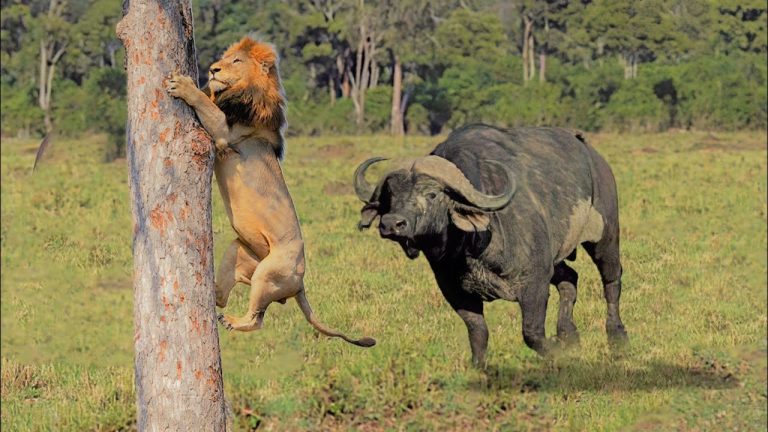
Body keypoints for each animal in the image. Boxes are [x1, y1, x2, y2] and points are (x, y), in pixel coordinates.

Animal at [165, 36, 376, 348]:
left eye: (236, 61)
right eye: (225, 58)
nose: (213, 69)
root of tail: (300, 283)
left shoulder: (226, 133)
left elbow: (204, 101)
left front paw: (183, 85)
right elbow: (209, 96)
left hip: (268, 273)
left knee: (256, 318)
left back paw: (232, 321)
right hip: (239, 250)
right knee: (223, 297)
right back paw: (207, 289)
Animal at [354, 123, 632, 366]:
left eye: (432, 194)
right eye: (391, 195)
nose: (392, 224)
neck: (470, 248)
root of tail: (592, 155)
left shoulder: (535, 283)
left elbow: (532, 333)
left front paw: (558, 352)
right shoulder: (456, 292)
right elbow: (478, 333)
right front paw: (479, 367)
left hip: (605, 236)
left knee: (611, 280)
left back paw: (617, 337)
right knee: (570, 279)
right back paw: (569, 334)